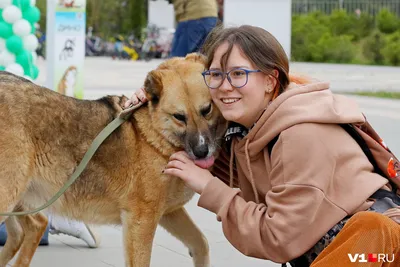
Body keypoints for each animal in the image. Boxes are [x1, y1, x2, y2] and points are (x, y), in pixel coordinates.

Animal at [0, 54, 227, 267]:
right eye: (179, 117)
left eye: (207, 110)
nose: (202, 151)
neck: (154, 134)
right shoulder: (141, 221)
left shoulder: (168, 213)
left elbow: (201, 243)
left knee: (26, 230)